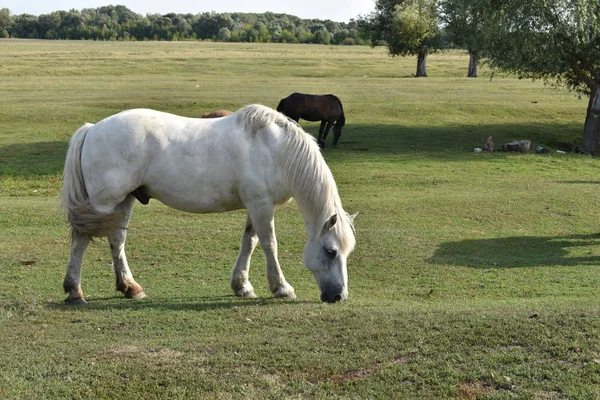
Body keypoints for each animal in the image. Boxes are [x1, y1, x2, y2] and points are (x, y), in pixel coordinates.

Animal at [59, 104, 356, 304]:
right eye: (331, 251)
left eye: (346, 252)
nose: (339, 296)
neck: (276, 150)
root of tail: (91, 129)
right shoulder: (261, 206)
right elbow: (269, 244)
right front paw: (282, 288)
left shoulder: (256, 205)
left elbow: (249, 241)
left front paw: (242, 285)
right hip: (103, 204)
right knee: (82, 241)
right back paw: (75, 291)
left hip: (123, 202)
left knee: (116, 241)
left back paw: (130, 287)